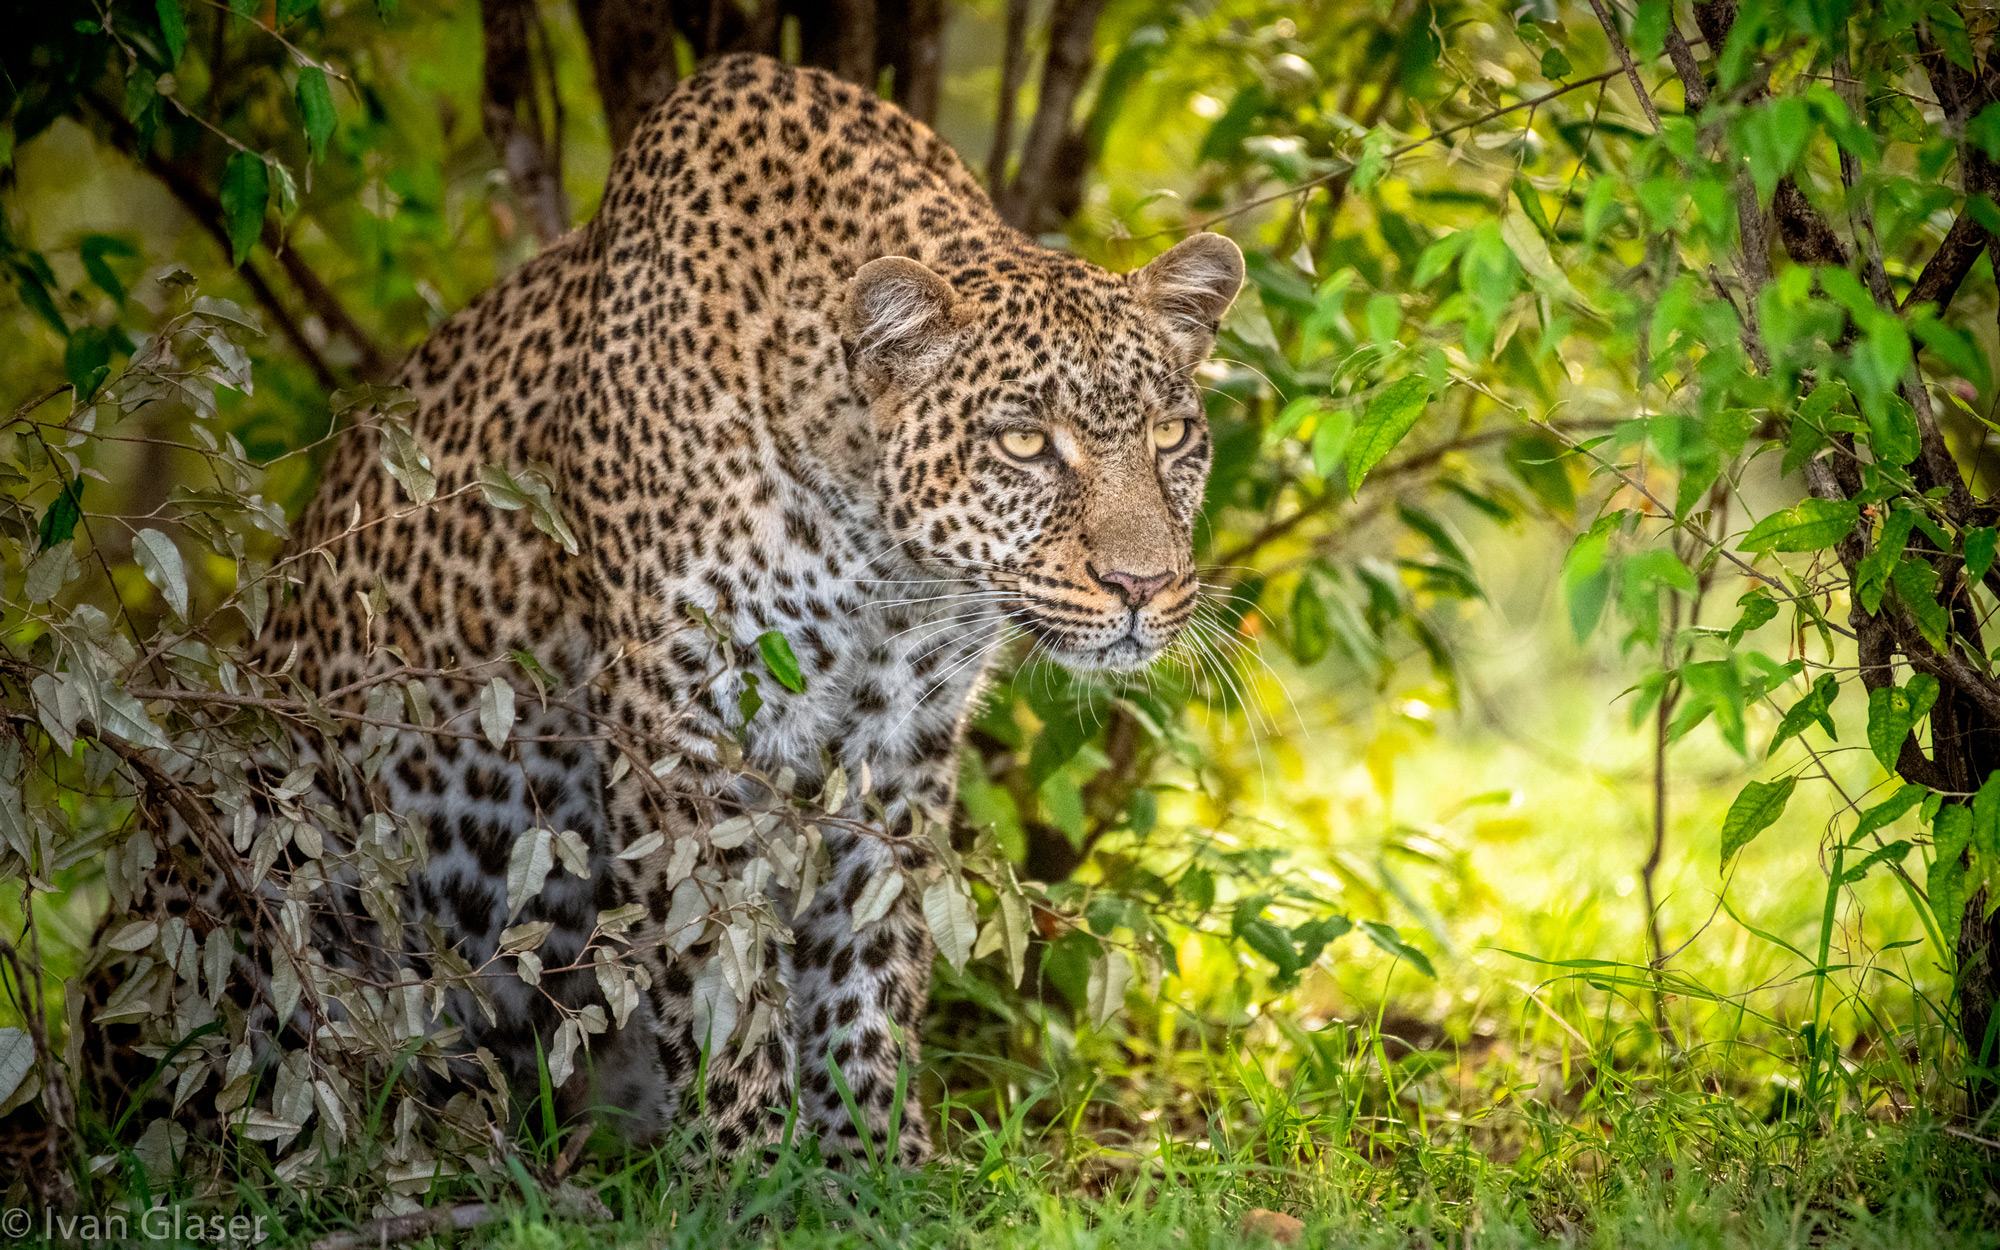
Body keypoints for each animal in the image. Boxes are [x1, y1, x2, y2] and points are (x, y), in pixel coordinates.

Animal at [90, 48, 1232, 1160]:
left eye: (1172, 435)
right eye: (1026, 443)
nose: (1142, 585)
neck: (889, 563)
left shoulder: (900, 742)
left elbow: (868, 966)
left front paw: (878, 1163)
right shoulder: (679, 724)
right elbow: (720, 971)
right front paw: (751, 1169)